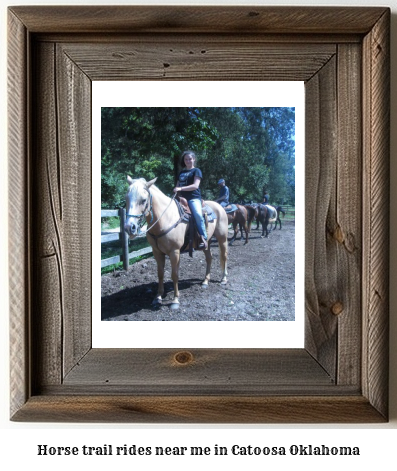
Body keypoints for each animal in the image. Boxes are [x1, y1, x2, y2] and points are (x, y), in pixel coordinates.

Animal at [124, 177, 229, 310]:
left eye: (143, 200)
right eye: (126, 198)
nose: (129, 227)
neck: (165, 219)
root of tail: (219, 207)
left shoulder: (174, 252)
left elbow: (174, 275)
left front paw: (175, 300)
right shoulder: (157, 252)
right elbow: (160, 274)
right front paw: (158, 297)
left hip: (222, 238)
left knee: (224, 256)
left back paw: (224, 279)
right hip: (207, 242)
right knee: (209, 258)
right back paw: (205, 281)